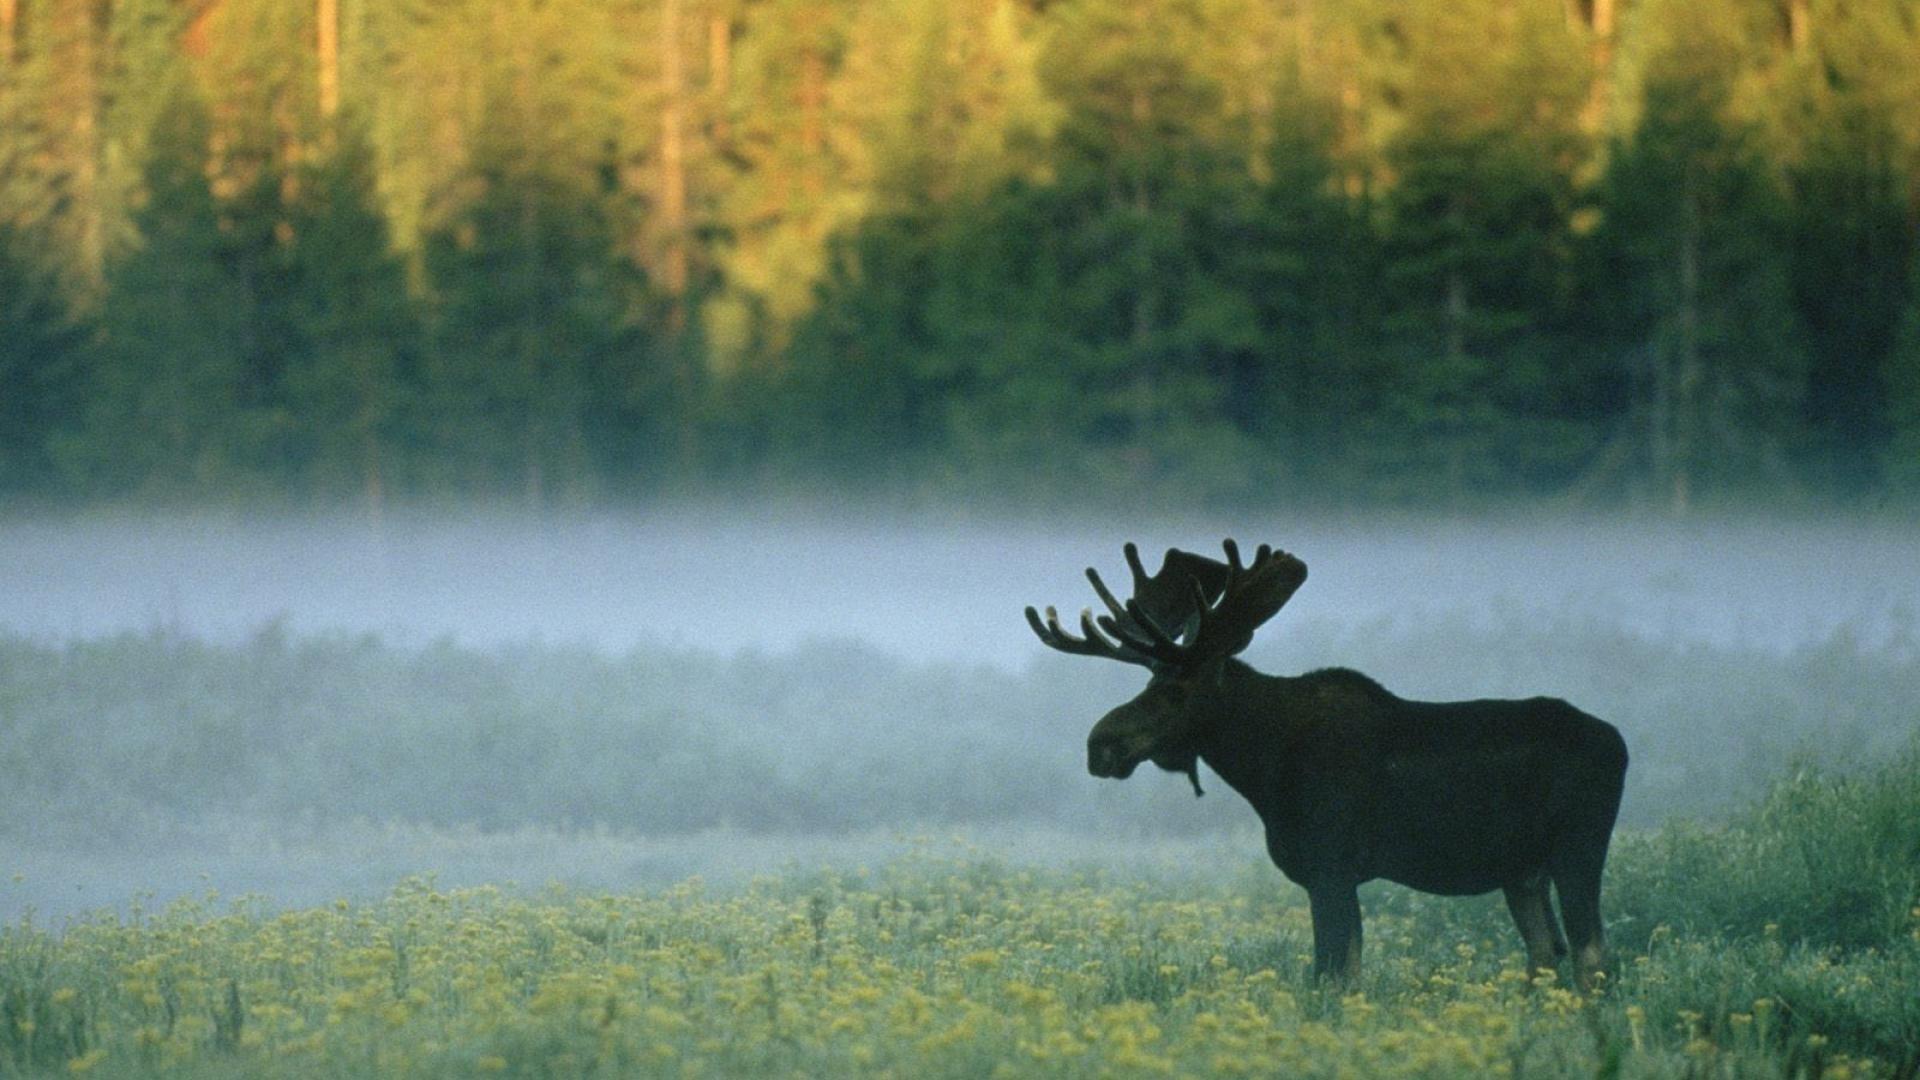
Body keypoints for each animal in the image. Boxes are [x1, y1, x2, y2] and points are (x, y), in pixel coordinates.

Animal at [1029, 538, 1628, 983]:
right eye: (1148, 682)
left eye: (1176, 690)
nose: (1100, 744)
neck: (1261, 767)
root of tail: (1621, 744)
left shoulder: (1331, 867)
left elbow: (1332, 978)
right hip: (1522, 871)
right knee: (1545, 953)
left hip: (1577, 849)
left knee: (1591, 953)